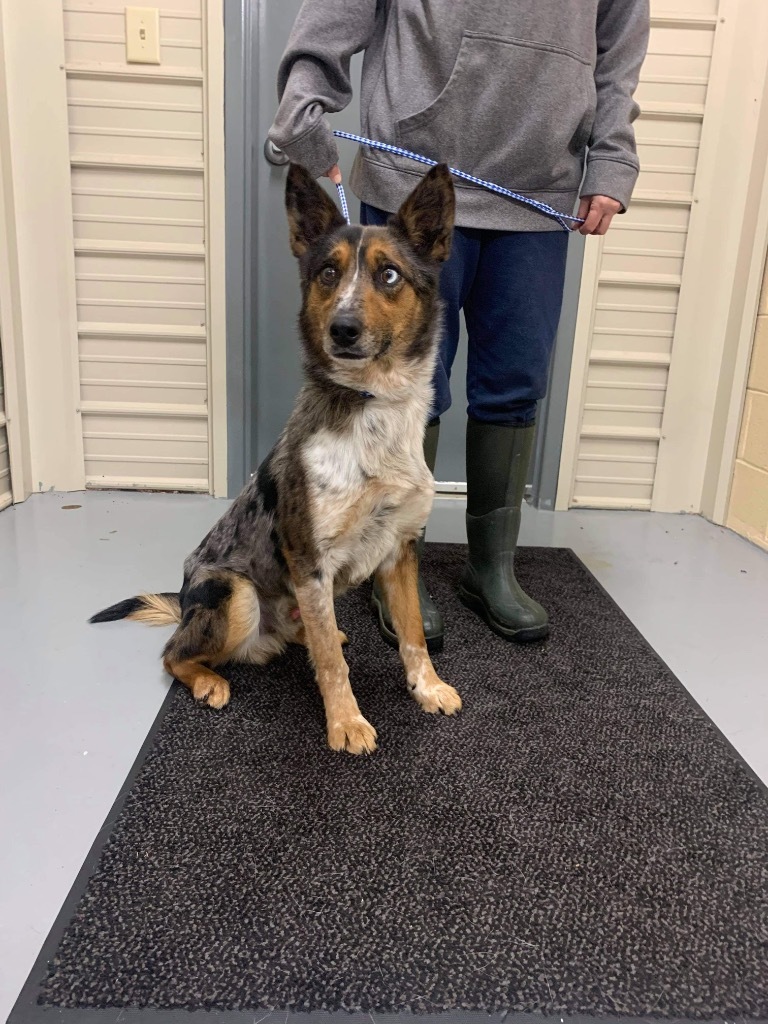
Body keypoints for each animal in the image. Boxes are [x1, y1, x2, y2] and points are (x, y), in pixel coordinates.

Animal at [91, 159, 462, 753]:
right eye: (328, 273)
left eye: (388, 275)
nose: (343, 329)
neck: (372, 404)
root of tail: (184, 599)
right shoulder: (310, 561)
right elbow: (333, 665)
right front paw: (345, 721)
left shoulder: (398, 551)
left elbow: (411, 638)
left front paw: (427, 688)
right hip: (236, 594)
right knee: (173, 654)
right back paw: (209, 680)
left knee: (307, 632)